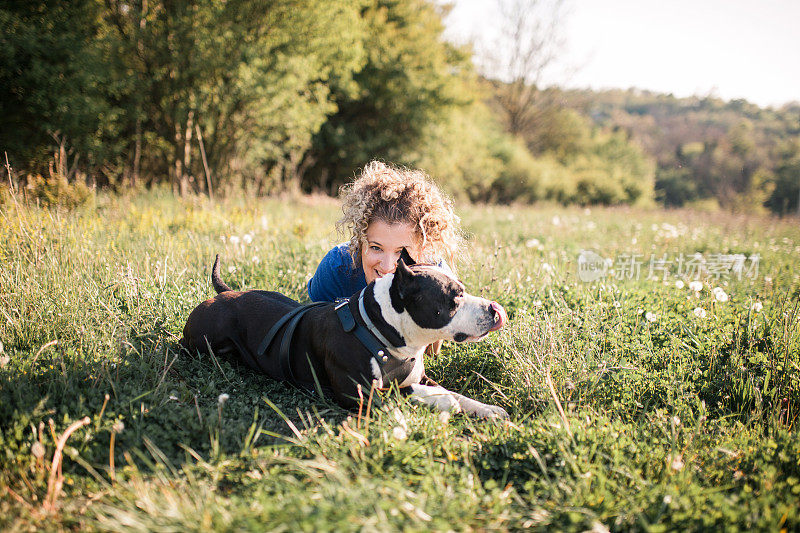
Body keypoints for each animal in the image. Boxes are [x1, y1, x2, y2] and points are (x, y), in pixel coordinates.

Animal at [180, 251, 506, 418]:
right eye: (454, 298)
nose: (493, 309)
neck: (380, 330)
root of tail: (224, 294)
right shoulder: (358, 393)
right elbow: (404, 392)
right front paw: (442, 401)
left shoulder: (420, 376)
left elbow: (455, 393)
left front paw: (487, 409)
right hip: (205, 338)